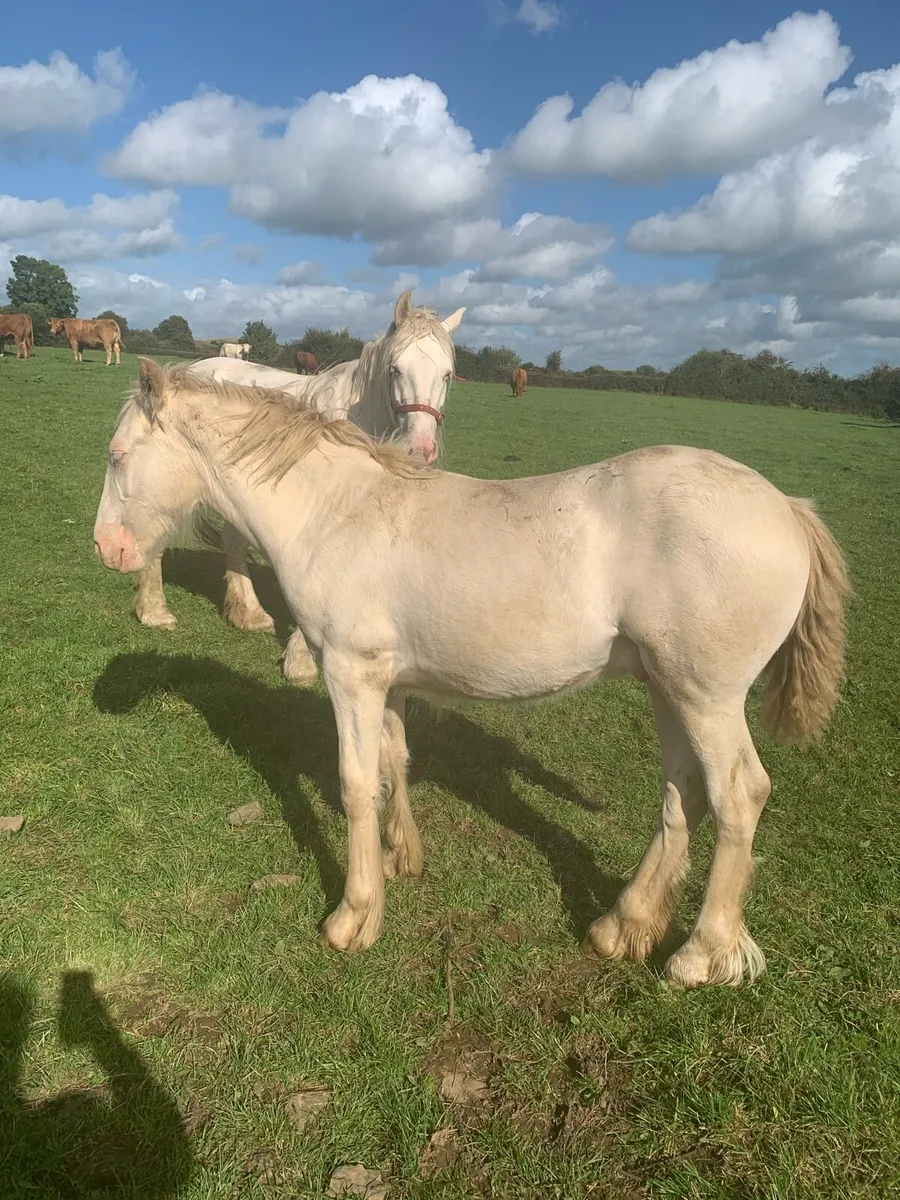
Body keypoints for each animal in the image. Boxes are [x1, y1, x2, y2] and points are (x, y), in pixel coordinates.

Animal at [94, 358, 849, 987]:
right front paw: (400, 860)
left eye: (118, 454)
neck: (336, 511)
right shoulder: (387, 680)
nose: (108, 548)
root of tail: (788, 509)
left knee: (738, 796)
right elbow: (394, 761)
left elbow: (355, 782)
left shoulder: (350, 674)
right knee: (683, 793)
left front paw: (355, 916)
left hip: (707, 697)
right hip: (669, 690)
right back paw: (623, 925)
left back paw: (699, 954)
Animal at [130, 290, 465, 685]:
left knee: (233, 541)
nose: (421, 448)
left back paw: (247, 612)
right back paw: (154, 611)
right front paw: (301, 660)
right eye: (395, 369)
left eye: (447, 374)